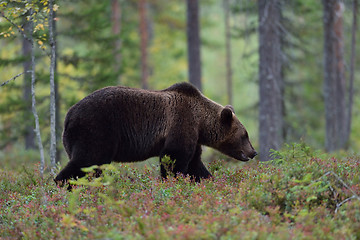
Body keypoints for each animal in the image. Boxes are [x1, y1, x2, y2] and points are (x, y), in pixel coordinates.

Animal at [54, 82, 256, 184]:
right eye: (245, 135)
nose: (253, 152)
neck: (201, 123)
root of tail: (68, 115)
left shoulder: (193, 135)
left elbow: (194, 163)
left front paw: (206, 180)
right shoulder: (181, 123)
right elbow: (174, 158)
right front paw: (173, 181)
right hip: (96, 129)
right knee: (88, 160)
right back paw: (63, 183)